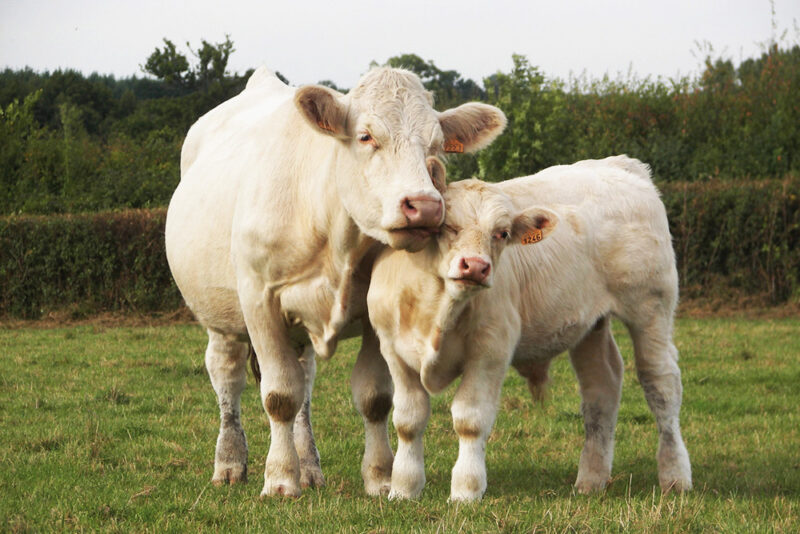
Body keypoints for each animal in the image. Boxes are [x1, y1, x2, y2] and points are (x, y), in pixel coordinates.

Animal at [166, 66, 506, 498]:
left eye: (437, 145)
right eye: (366, 136)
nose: (426, 206)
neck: (332, 230)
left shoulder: (377, 314)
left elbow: (373, 398)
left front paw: (379, 476)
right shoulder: (259, 302)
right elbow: (279, 395)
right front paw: (280, 478)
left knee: (304, 384)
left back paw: (309, 466)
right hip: (219, 315)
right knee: (227, 374)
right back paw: (230, 462)